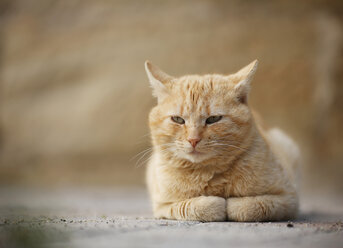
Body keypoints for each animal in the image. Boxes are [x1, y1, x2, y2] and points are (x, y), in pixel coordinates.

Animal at [144, 60, 300, 223]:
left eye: (213, 119)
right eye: (178, 120)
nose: (193, 140)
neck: (207, 172)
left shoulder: (288, 198)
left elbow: (251, 206)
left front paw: (232, 204)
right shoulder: (162, 206)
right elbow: (191, 206)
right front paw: (214, 204)